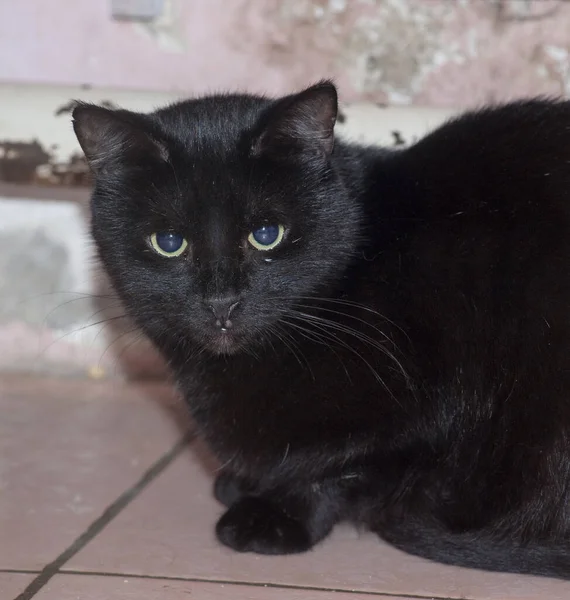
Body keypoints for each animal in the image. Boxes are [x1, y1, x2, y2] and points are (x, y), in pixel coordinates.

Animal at [72, 82, 570, 580]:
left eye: (266, 234)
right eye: (170, 243)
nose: (221, 301)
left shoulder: (428, 412)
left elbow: (335, 467)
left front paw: (273, 516)